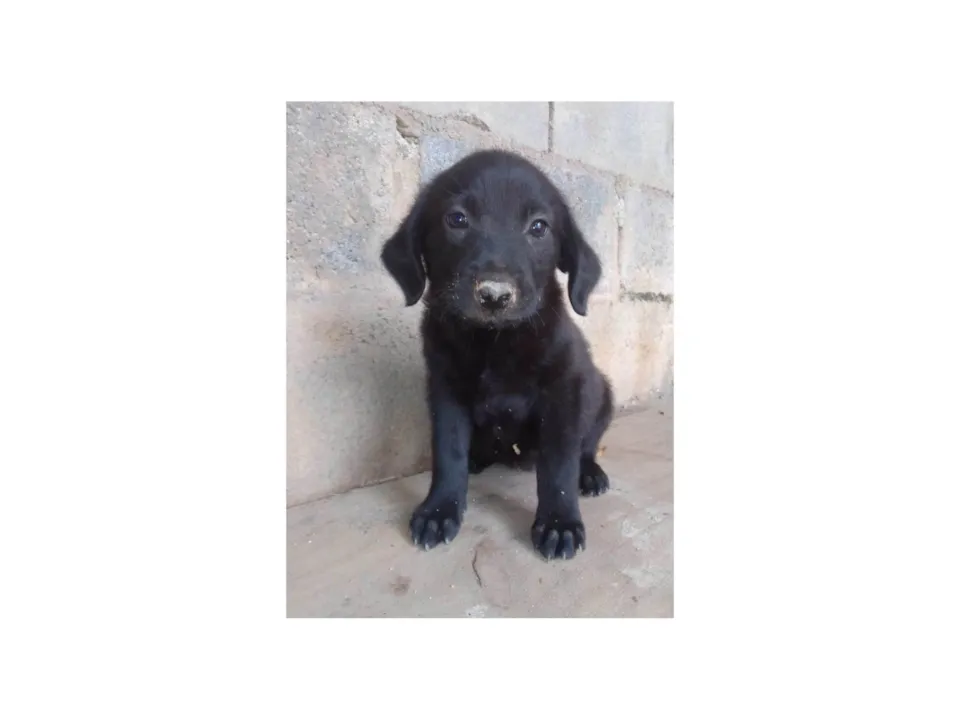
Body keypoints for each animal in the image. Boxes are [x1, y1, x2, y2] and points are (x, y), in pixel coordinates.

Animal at [380, 149, 613, 560]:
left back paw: (590, 473)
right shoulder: (445, 390)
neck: (495, 341)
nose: (494, 295)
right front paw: (439, 509)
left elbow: (559, 464)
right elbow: (448, 452)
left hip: (601, 395)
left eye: (539, 227)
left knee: (585, 447)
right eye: (457, 219)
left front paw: (559, 522)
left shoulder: (565, 390)